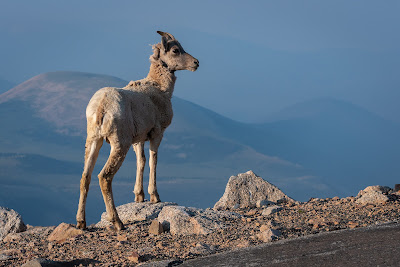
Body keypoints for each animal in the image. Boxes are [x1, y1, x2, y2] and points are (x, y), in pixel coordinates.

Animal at [76, 31, 199, 231]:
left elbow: (141, 161)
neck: (159, 89)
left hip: (94, 140)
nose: (196, 63)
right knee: (104, 177)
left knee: (85, 177)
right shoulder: (157, 133)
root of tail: (102, 106)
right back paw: (118, 222)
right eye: (175, 50)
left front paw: (139, 196)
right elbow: (153, 160)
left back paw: (81, 222)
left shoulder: (139, 139)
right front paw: (154, 196)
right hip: (119, 144)